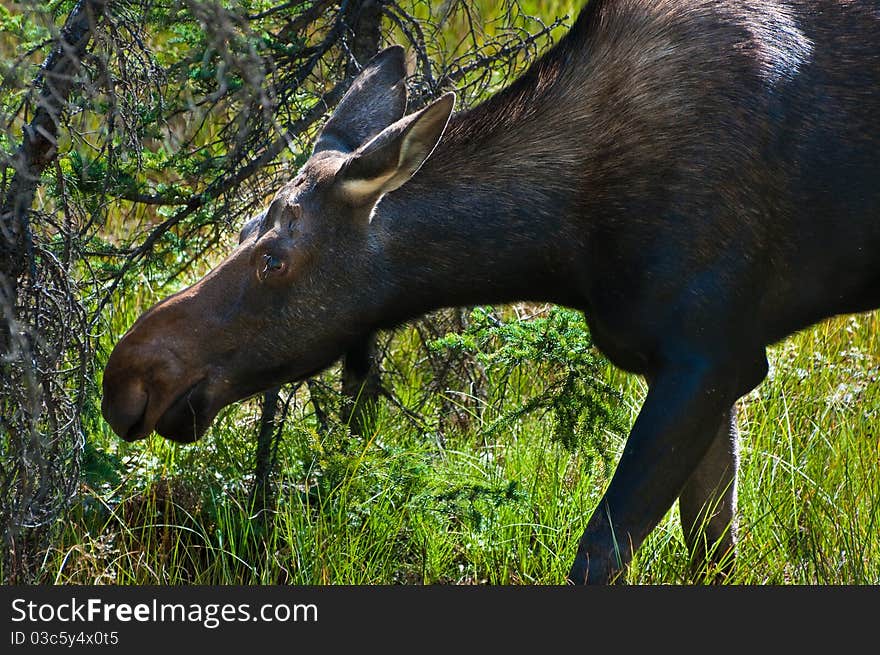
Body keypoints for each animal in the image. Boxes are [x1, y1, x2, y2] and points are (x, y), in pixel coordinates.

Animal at [101, 0, 880, 584]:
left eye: (273, 260)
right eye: (240, 231)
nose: (128, 375)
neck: (565, 241)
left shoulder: (711, 352)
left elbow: (599, 556)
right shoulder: (706, 367)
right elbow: (713, 551)